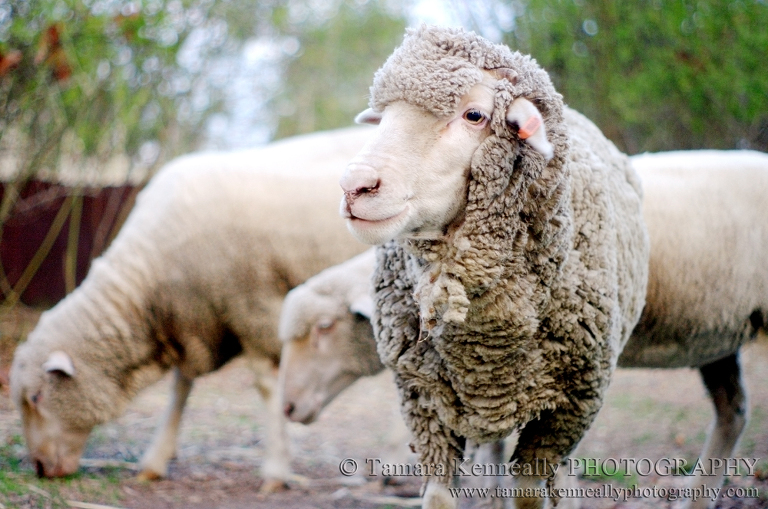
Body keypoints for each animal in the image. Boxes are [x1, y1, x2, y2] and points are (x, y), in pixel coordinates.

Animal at [9, 126, 371, 489]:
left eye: (36, 398)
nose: (39, 467)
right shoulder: (190, 319)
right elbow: (180, 388)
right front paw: (156, 460)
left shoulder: (252, 307)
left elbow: (268, 389)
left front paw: (275, 470)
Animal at [281, 148, 768, 509]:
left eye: (325, 326)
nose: (288, 407)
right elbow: (493, 458)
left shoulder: (570, 374)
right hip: (718, 335)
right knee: (733, 411)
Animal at [338, 25, 650, 509]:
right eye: (385, 115)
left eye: (474, 115)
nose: (355, 187)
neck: (487, 342)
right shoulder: (423, 400)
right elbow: (439, 496)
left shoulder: (570, 407)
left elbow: (529, 495)